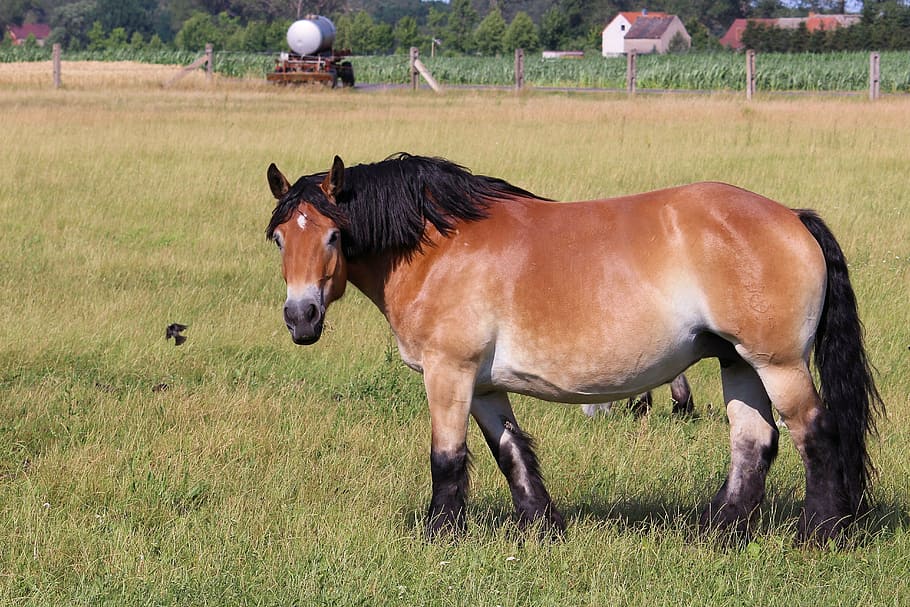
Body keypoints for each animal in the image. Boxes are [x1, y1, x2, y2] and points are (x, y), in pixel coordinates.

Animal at [264, 154, 884, 544]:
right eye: (279, 238)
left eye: (334, 235)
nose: (300, 317)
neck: (439, 248)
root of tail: (792, 217)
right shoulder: (483, 385)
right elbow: (511, 452)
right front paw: (542, 527)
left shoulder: (449, 372)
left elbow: (447, 458)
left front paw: (441, 534)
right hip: (739, 362)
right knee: (753, 442)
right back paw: (718, 530)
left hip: (778, 364)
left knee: (816, 432)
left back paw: (820, 533)